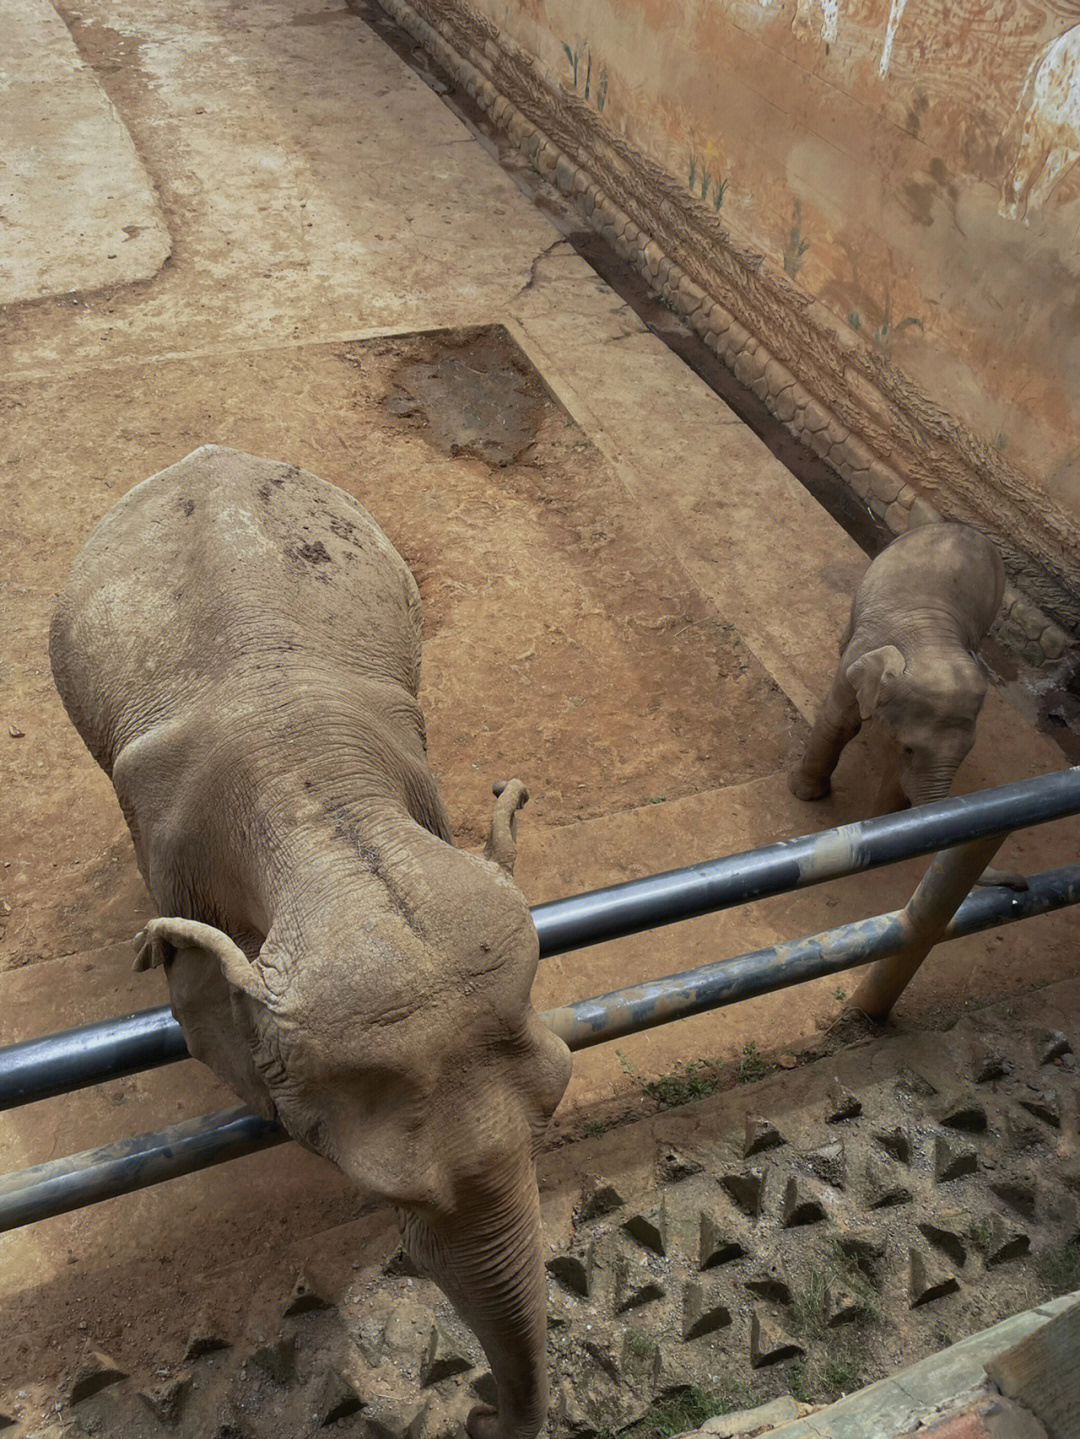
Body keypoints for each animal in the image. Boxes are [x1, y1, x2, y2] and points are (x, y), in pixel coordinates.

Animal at [50, 446, 575, 1439]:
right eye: (393, 1198)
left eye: (557, 1102)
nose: (473, 1411)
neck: (315, 796)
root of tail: (208, 450)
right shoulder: (169, 849)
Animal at [788, 520, 1012, 840]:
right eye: (908, 748)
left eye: (968, 750)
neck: (932, 641)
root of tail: (964, 526)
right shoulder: (862, 650)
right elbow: (840, 722)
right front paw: (804, 794)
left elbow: (897, 774)